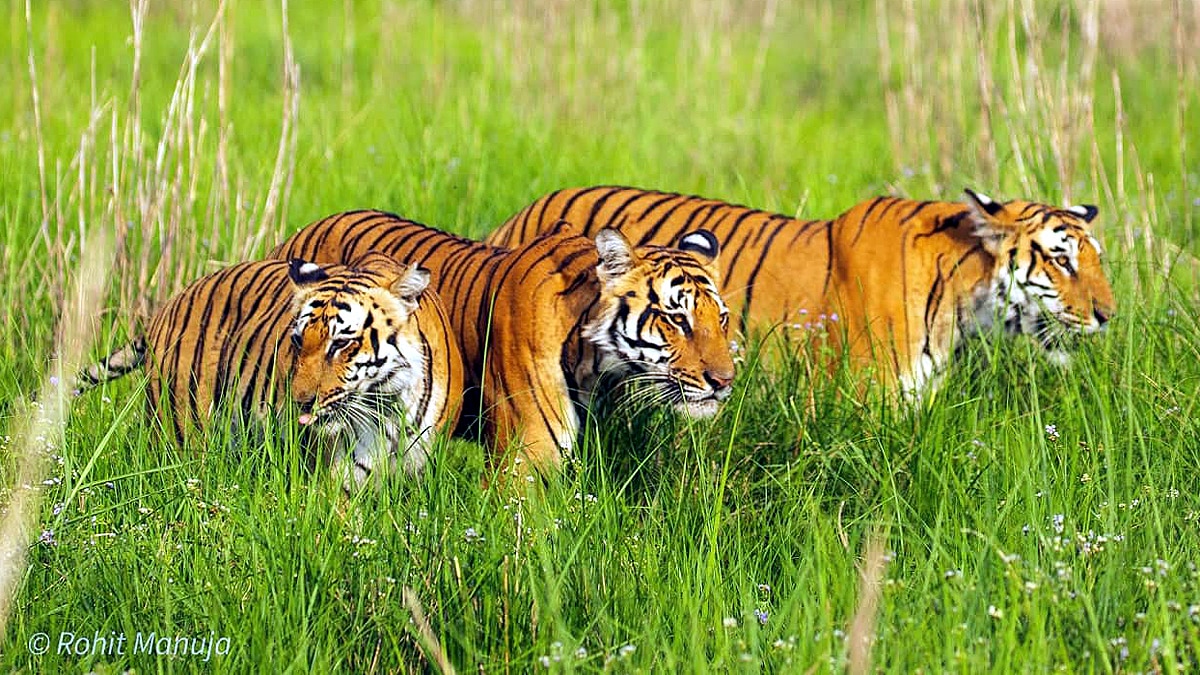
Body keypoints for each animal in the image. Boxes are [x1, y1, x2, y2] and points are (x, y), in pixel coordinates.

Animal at [75, 253, 465, 489]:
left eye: (340, 343)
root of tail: (168, 305)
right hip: (181, 435)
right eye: (297, 341)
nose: (300, 401)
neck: (388, 401)